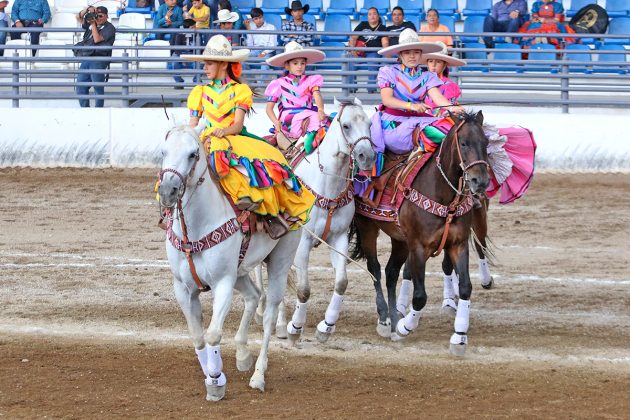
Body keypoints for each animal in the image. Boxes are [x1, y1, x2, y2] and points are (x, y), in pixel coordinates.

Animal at [159, 124, 302, 400]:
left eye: (193, 154)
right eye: (163, 151)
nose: (167, 191)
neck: (195, 230)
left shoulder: (223, 282)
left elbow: (213, 334)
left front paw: (216, 381)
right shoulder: (183, 288)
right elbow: (198, 337)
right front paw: (211, 372)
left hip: (279, 262)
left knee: (269, 315)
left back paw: (258, 375)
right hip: (241, 272)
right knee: (254, 295)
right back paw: (243, 354)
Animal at [254, 98, 378, 344]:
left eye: (369, 124)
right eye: (346, 125)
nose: (367, 157)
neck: (327, 187)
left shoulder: (339, 238)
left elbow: (341, 283)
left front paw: (326, 327)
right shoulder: (303, 242)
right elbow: (304, 289)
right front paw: (295, 327)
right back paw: (267, 315)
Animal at [350, 110, 494, 354]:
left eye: (485, 142)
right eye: (463, 143)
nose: (480, 181)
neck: (444, 197)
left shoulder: (458, 244)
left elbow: (465, 287)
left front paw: (459, 336)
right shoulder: (418, 247)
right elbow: (419, 296)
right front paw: (405, 327)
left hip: (400, 240)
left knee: (390, 272)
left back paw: (393, 316)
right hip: (367, 227)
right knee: (375, 269)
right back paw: (385, 319)